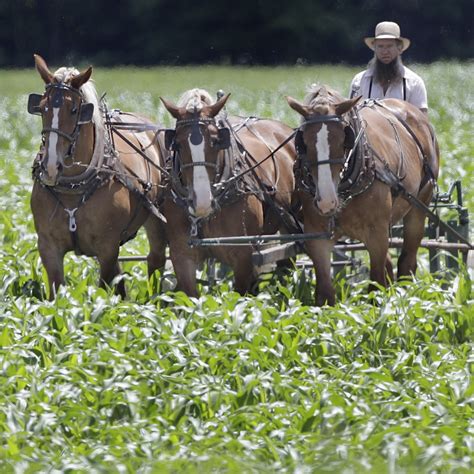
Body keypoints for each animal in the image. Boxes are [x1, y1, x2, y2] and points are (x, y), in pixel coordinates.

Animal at [28, 55, 167, 298]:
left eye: (74, 109)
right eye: (43, 108)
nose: (51, 166)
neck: (74, 187)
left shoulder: (107, 247)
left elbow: (104, 288)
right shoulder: (48, 246)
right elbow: (57, 292)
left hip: (156, 221)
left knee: (155, 260)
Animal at [159, 88, 298, 296]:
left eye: (216, 141)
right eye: (178, 144)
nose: (201, 202)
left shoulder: (243, 255)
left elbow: (239, 296)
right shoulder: (182, 255)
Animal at [286, 84, 438, 308]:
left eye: (344, 139)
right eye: (303, 141)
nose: (326, 201)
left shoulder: (377, 233)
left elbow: (376, 285)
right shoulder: (317, 236)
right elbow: (325, 294)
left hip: (419, 206)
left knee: (407, 261)